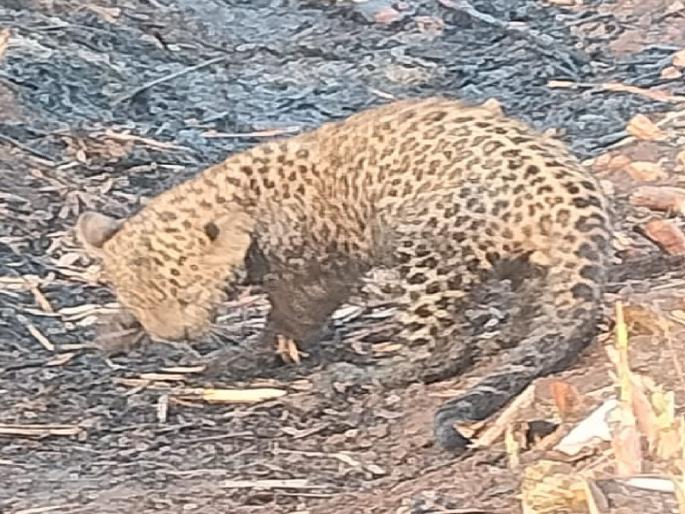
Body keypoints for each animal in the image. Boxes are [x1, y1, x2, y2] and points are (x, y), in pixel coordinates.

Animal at [76, 97, 612, 452]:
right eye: (142, 301)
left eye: (184, 293)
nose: (174, 335)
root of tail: (574, 191)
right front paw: (119, 328)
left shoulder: (315, 273)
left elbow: (289, 320)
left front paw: (243, 356)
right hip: (525, 257)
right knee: (534, 296)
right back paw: (513, 334)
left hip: (425, 245)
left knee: (446, 344)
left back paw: (363, 374)